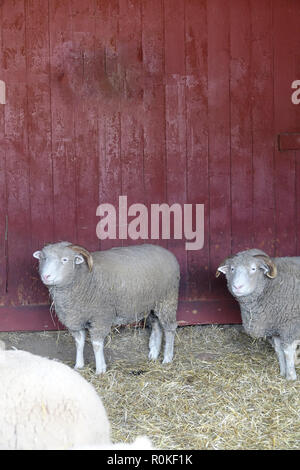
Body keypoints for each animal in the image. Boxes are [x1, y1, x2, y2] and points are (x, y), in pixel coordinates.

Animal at [33, 242, 178, 374]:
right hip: (153, 304)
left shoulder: (100, 317)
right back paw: (154, 353)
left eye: (65, 259)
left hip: (167, 300)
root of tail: (167, 252)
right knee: (157, 326)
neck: (84, 278)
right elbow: (79, 342)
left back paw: (167, 358)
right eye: (43, 258)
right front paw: (79, 365)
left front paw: (100, 370)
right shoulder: (75, 319)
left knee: (169, 329)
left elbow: (97, 345)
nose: (46, 276)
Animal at [217, 250, 300, 378]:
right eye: (232, 268)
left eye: (253, 268)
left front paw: (290, 377)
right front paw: (282, 373)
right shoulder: (275, 328)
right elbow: (279, 350)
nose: (237, 286)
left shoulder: (290, 327)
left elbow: (287, 352)